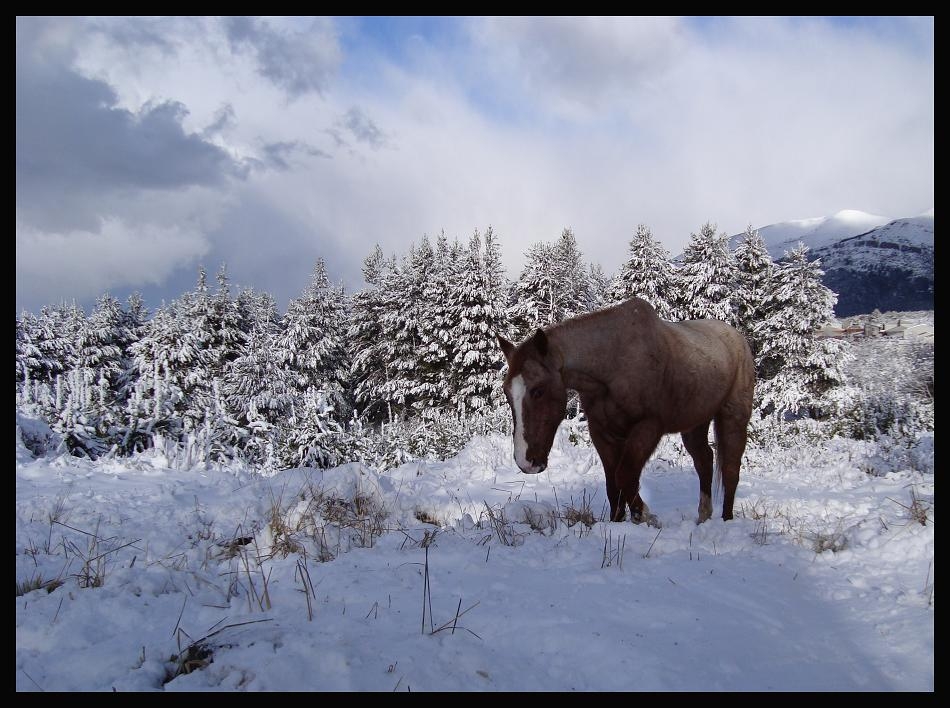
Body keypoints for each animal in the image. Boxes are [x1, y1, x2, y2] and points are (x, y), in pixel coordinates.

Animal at [498, 296, 760, 524]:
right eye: (507, 392)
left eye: (538, 391)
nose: (526, 462)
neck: (613, 365)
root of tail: (737, 339)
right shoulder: (602, 432)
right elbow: (613, 484)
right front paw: (619, 521)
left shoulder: (647, 427)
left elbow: (625, 476)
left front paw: (645, 516)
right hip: (695, 423)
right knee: (704, 460)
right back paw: (703, 517)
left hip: (733, 416)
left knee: (730, 468)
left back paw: (726, 519)